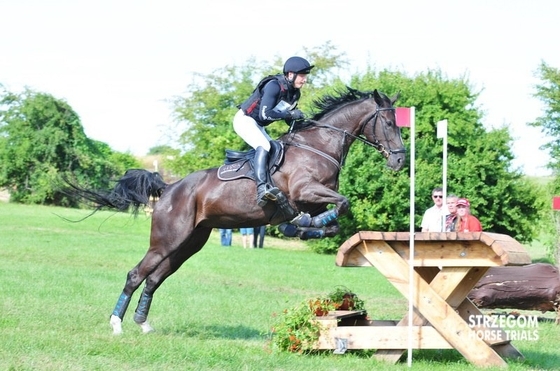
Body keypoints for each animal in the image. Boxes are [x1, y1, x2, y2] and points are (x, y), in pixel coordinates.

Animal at [68, 86, 404, 334]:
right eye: (389, 124)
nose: (399, 160)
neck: (319, 145)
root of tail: (169, 188)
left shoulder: (316, 199)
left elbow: (333, 218)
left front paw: (300, 227)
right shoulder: (304, 190)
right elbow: (342, 203)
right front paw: (296, 223)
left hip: (189, 243)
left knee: (154, 279)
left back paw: (143, 324)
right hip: (167, 240)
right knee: (136, 274)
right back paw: (117, 324)